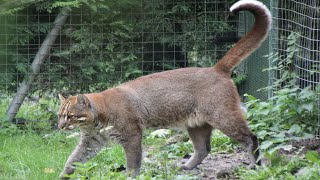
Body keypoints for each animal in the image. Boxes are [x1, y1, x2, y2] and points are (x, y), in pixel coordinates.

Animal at [57, 0, 270, 179]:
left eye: (71, 116)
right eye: (59, 115)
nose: (60, 126)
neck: (96, 120)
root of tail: (215, 68)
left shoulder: (132, 136)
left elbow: (133, 162)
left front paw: (131, 176)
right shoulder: (90, 141)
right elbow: (73, 159)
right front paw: (62, 175)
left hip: (223, 116)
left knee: (252, 137)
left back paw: (254, 166)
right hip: (196, 124)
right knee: (203, 148)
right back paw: (186, 167)